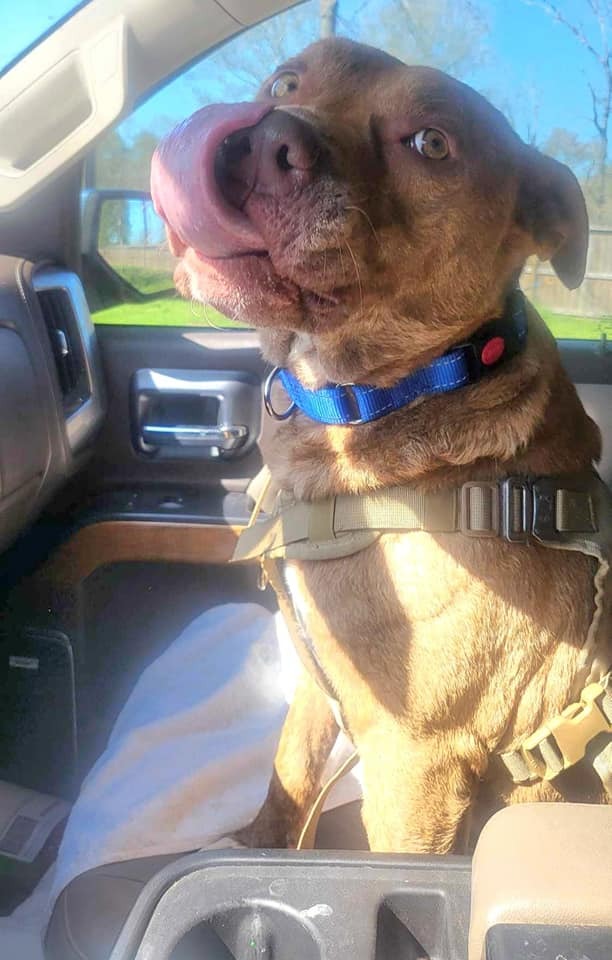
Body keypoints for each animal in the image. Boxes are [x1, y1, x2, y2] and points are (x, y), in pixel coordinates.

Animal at [151, 39, 608, 856]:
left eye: (431, 143)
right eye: (285, 81)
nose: (263, 141)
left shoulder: (414, 762)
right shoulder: (315, 678)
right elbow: (287, 778)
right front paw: (258, 846)